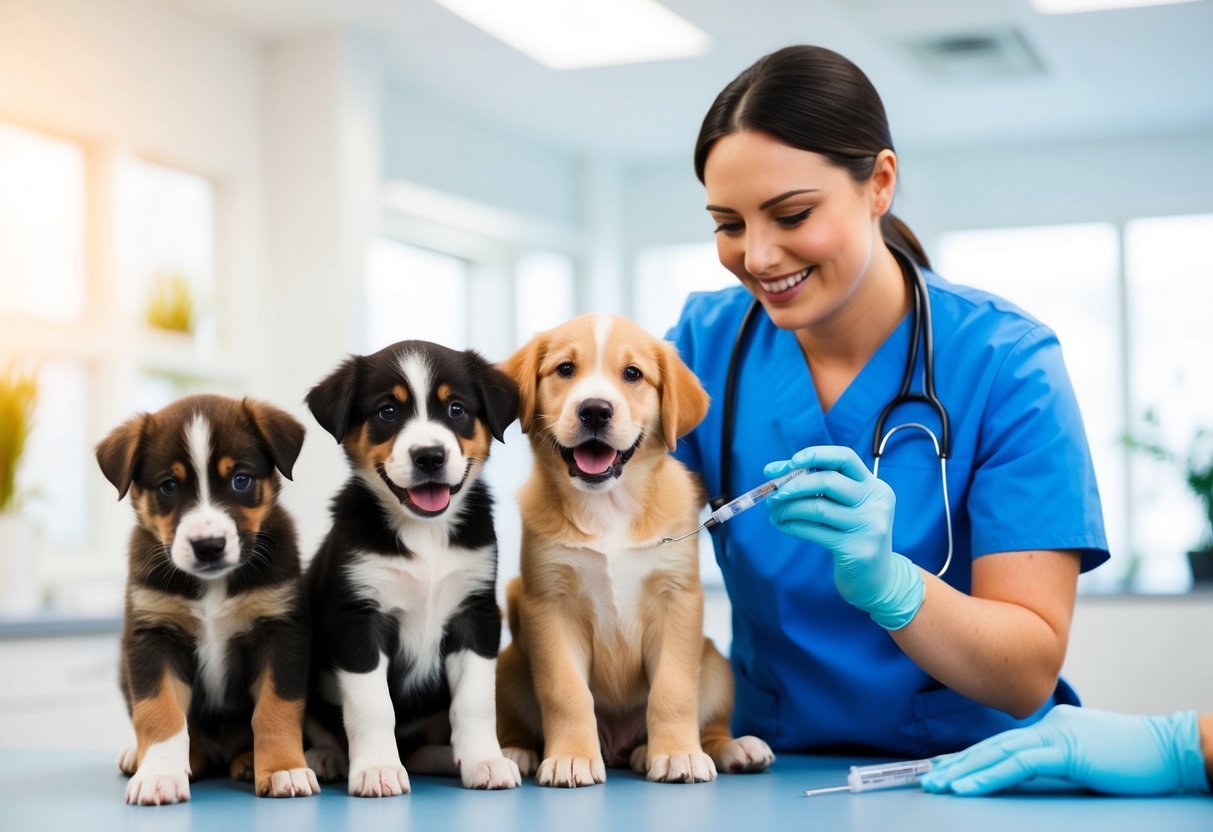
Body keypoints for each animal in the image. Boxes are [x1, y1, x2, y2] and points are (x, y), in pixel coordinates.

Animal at [303, 342, 521, 800]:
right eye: (387, 411)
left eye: (456, 408)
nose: (429, 457)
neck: (425, 533)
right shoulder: (358, 618)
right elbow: (372, 706)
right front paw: (377, 769)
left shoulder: (475, 613)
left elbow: (475, 702)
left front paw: (485, 761)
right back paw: (326, 758)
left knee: (421, 748)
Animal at [494, 312, 771, 790]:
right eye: (565, 369)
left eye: (633, 374)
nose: (594, 409)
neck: (608, 506)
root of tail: (618, 745)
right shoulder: (549, 604)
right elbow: (566, 692)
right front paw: (570, 757)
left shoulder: (678, 599)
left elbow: (673, 690)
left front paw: (678, 753)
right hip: (509, 664)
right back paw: (516, 750)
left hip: (716, 663)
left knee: (711, 722)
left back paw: (732, 748)